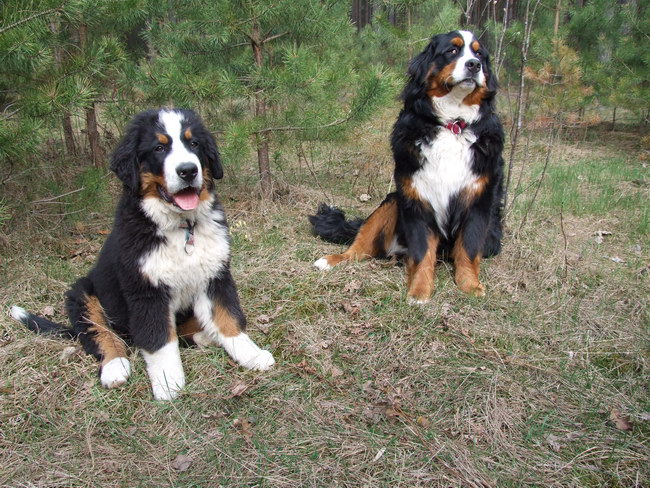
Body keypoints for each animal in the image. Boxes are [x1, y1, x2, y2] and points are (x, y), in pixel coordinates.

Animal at [11, 108, 274, 400]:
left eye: (194, 144)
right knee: (99, 333)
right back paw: (115, 366)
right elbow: (159, 339)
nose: (188, 170)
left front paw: (251, 355)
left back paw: (207, 336)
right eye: (159, 148)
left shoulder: (214, 276)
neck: (181, 228)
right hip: (83, 293)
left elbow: (229, 319)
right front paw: (168, 383)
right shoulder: (145, 290)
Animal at [310, 30, 504, 303]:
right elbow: (422, 252)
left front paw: (469, 286)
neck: (453, 124)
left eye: (479, 53)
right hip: (390, 202)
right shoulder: (417, 197)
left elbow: (468, 248)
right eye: (452, 51)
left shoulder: (478, 199)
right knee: (358, 249)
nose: (474, 65)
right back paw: (330, 261)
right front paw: (419, 292)